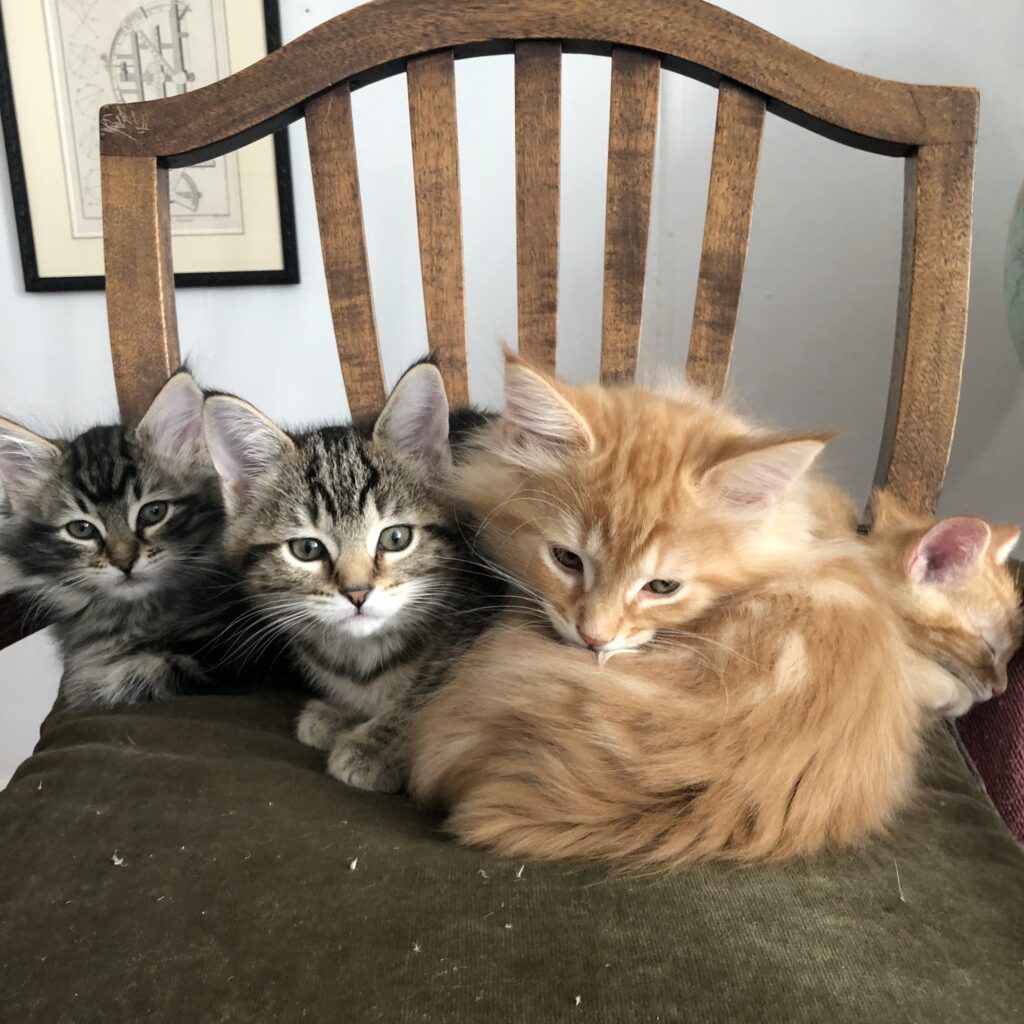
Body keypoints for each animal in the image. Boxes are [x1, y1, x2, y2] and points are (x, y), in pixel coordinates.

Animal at [0, 371, 251, 709]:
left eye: (153, 512)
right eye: (82, 529)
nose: (124, 562)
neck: (132, 615)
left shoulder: (234, 652)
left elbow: (144, 672)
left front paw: (85, 688)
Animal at [202, 360, 500, 793]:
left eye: (396, 538)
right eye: (307, 549)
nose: (357, 592)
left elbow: (437, 686)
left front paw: (379, 743)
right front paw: (341, 714)